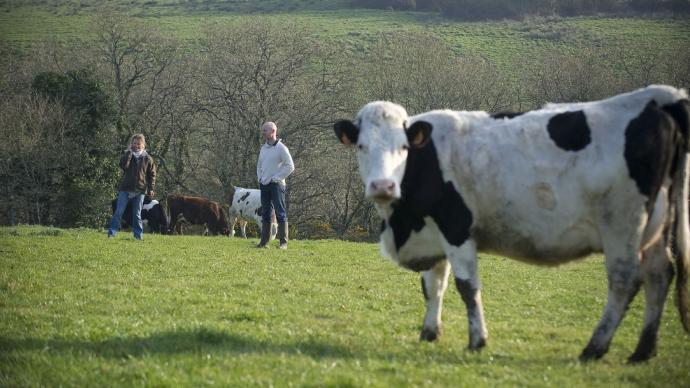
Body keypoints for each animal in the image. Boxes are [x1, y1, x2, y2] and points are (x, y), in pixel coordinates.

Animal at [334, 83, 688, 362]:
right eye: (362, 146)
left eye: (404, 147)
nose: (382, 186)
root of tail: (657, 97)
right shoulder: (434, 231)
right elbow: (433, 286)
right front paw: (430, 332)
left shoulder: (457, 227)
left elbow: (467, 287)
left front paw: (477, 340)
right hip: (655, 227)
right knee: (659, 274)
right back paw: (643, 351)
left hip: (622, 224)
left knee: (625, 279)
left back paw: (594, 347)